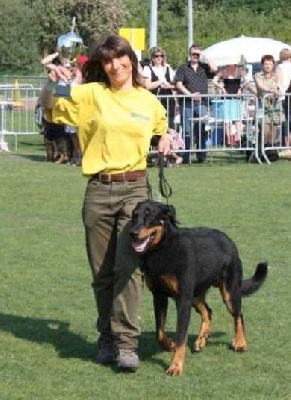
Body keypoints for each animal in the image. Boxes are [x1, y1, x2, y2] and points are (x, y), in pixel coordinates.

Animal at [130, 202, 270, 376]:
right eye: (134, 215)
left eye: (150, 215)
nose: (132, 233)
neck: (163, 248)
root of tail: (227, 239)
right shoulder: (159, 295)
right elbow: (159, 333)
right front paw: (169, 345)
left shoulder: (183, 300)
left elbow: (181, 337)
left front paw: (175, 366)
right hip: (195, 295)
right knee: (208, 311)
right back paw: (201, 340)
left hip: (229, 292)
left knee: (238, 315)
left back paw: (240, 342)